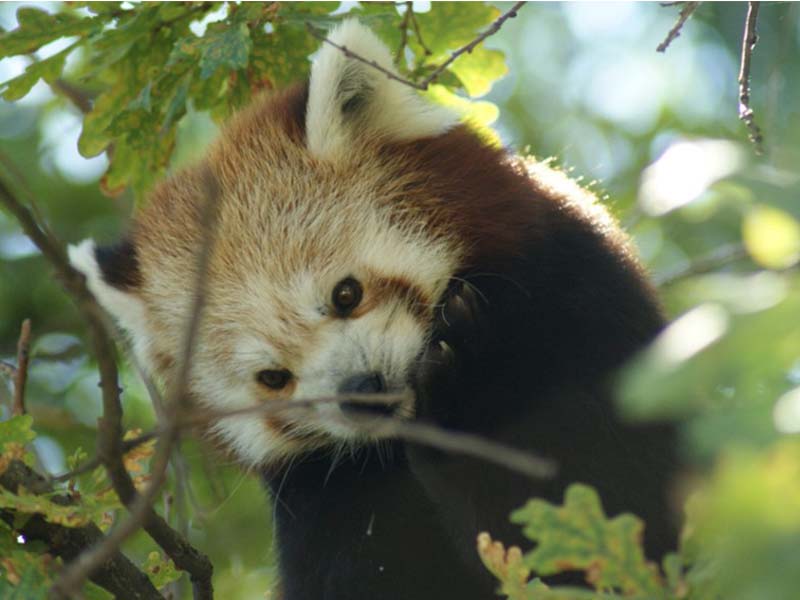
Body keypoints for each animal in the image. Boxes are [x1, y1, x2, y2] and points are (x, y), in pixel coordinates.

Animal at [72, 18, 680, 600]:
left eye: (346, 294)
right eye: (274, 378)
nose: (362, 392)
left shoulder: (590, 313)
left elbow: (615, 505)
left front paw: (478, 390)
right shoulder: (325, 499)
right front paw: (469, 399)